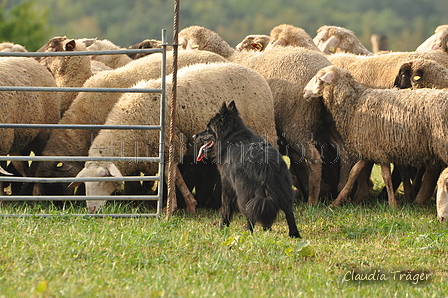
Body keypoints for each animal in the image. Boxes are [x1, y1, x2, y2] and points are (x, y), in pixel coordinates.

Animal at [69, 61, 276, 213]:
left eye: (103, 177)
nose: (91, 210)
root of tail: (258, 76)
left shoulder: (171, 143)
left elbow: (171, 174)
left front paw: (176, 206)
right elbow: (173, 175)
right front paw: (186, 204)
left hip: (263, 128)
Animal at [192, 101, 300, 239]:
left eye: (208, 128)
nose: (193, 136)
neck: (231, 135)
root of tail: (265, 164)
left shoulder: (227, 186)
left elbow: (226, 210)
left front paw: (222, 229)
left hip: (244, 193)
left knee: (250, 214)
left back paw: (248, 234)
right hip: (284, 190)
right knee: (288, 212)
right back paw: (293, 234)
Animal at [300, 64, 448, 207]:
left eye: (318, 78)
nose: (304, 92)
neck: (355, 103)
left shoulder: (378, 149)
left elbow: (386, 177)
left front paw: (392, 204)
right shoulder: (369, 147)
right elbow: (354, 172)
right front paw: (336, 202)